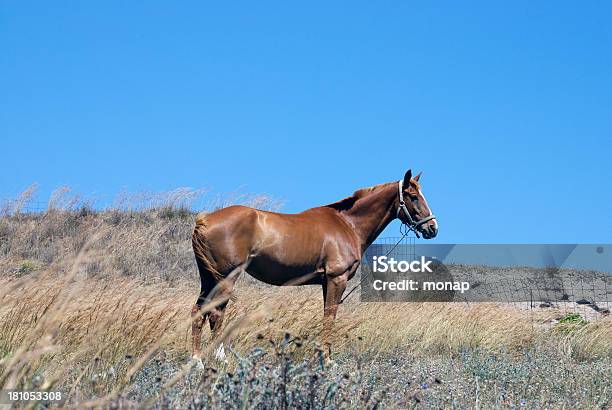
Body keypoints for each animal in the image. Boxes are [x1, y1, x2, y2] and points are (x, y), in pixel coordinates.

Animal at [190, 169, 436, 358]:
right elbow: (329, 318)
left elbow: (327, 316)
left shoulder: (326, 282)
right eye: (413, 196)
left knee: (198, 312)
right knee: (216, 314)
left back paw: (198, 360)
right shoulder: (337, 279)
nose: (432, 228)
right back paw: (219, 358)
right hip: (225, 277)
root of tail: (205, 220)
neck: (347, 224)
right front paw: (327, 360)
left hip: (208, 278)